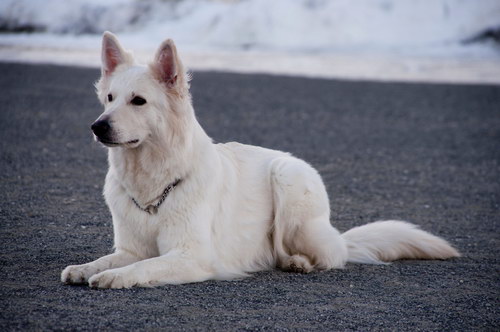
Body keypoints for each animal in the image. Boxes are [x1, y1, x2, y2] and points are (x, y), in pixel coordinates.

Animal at [60, 32, 458, 290]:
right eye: (109, 99)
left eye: (138, 101)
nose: (98, 126)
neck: (153, 184)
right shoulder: (128, 248)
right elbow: (112, 258)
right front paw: (85, 268)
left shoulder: (192, 256)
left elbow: (144, 267)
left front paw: (115, 277)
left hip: (288, 180)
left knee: (328, 255)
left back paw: (298, 262)